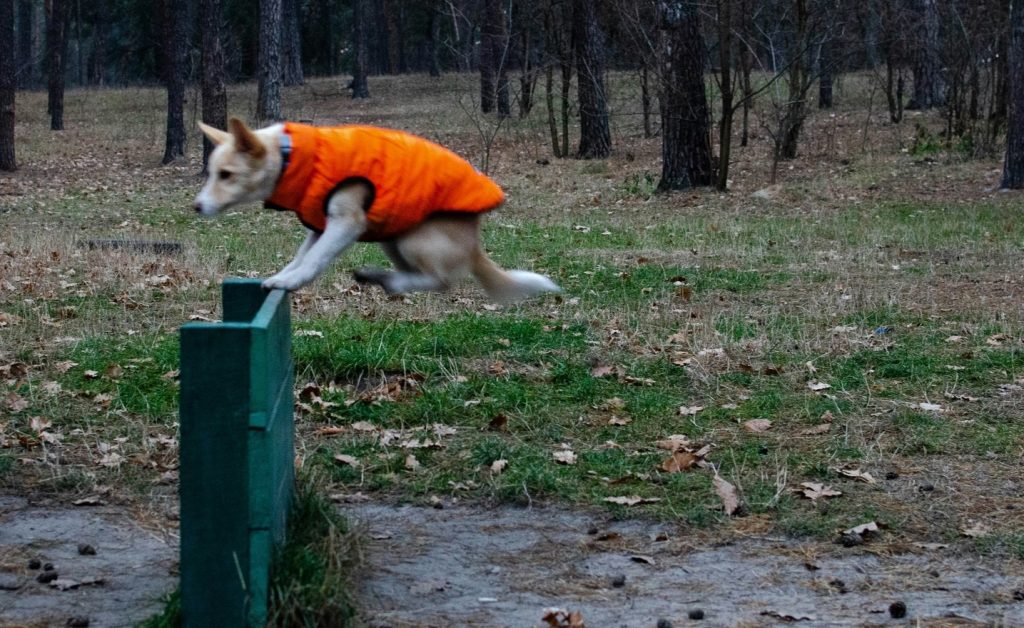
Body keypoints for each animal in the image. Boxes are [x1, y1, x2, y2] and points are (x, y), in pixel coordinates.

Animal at [192, 120, 561, 303]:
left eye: (226, 174)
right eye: (211, 172)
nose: (196, 206)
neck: (289, 154)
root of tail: (474, 247)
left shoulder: (346, 223)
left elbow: (313, 261)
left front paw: (290, 282)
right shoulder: (319, 227)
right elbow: (301, 256)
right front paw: (283, 276)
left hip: (414, 238)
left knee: (441, 282)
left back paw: (388, 280)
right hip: (392, 237)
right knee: (425, 278)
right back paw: (381, 278)